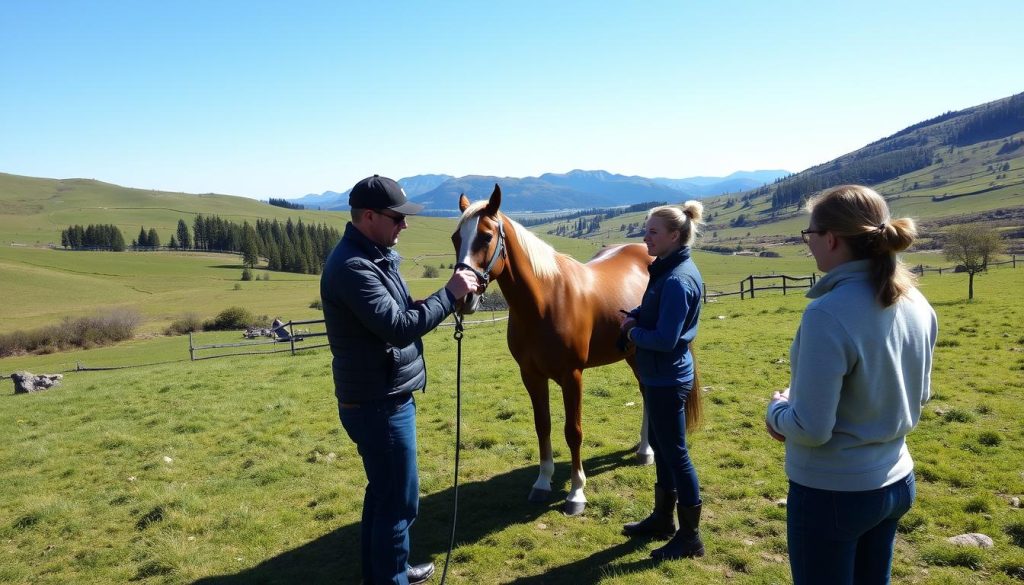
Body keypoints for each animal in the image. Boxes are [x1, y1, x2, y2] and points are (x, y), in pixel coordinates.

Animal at [456, 185, 704, 514]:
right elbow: (543, 426)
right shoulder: (531, 376)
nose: (463, 296)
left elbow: (573, 432)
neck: (545, 301)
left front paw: (576, 493)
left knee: (648, 397)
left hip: (638, 357)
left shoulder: (572, 376)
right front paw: (542, 482)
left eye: (485, 236)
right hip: (633, 356)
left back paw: (645, 451)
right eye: (455, 237)